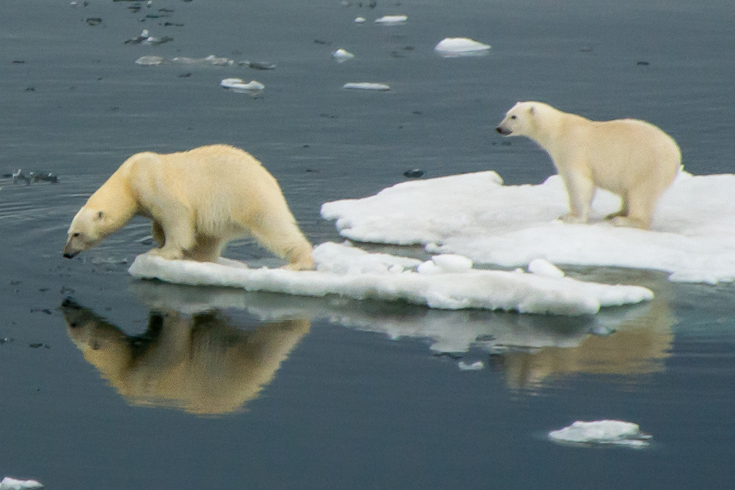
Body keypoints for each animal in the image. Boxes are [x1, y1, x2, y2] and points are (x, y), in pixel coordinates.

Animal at [64, 144, 316, 270]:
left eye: (76, 233)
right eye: (70, 233)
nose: (66, 253)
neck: (129, 179)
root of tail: (270, 179)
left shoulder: (155, 185)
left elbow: (177, 216)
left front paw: (161, 252)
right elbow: (159, 221)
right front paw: (158, 238)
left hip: (247, 197)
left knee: (274, 227)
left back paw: (297, 263)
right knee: (210, 237)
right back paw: (199, 257)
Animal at [498, 102, 680, 229]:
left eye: (513, 117)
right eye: (507, 114)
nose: (499, 128)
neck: (557, 129)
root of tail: (675, 152)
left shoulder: (573, 150)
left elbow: (580, 183)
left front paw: (573, 217)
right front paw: (570, 214)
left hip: (647, 166)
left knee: (642, 194)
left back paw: (624, 220)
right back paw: (616, 213)